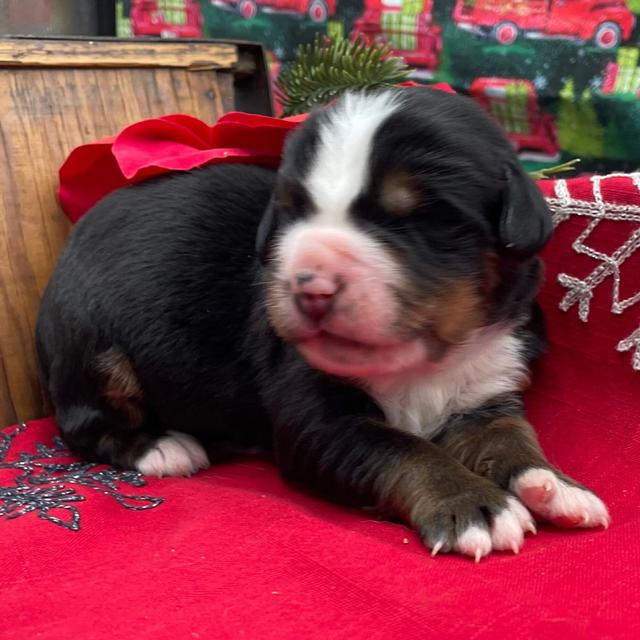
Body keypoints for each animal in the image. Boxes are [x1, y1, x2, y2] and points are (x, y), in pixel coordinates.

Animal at [37, 87, 608, 556]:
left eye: (421, 217)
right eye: (293, 211)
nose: (310, 287)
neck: (421, 363)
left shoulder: (487, 385)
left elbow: (510, 436)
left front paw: (554, 485)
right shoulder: (319, 418)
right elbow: (403, 449)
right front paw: (473, 505)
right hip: (95, 346)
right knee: (85, 424)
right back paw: (164, 447)